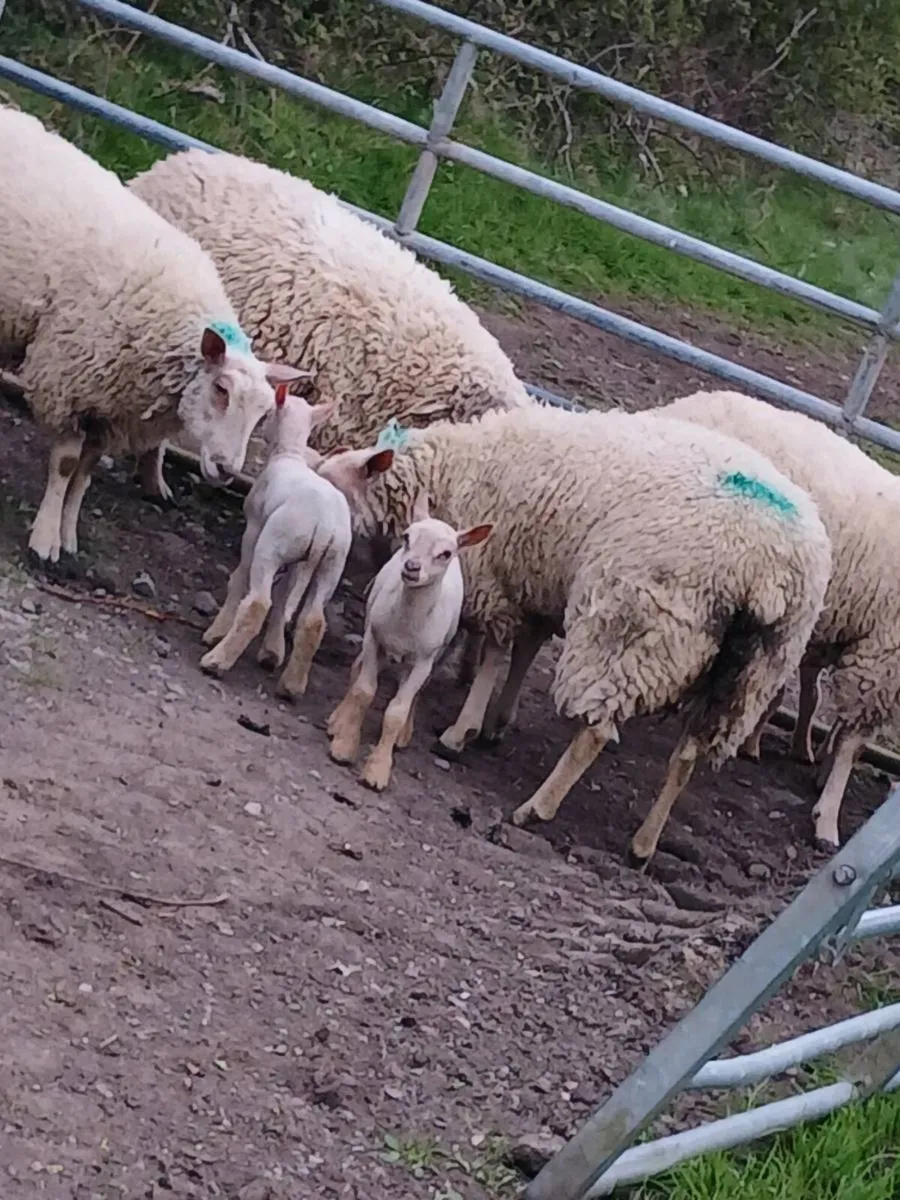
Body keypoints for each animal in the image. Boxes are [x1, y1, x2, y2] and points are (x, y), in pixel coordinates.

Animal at [0, 106, 304, 564]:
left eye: (265, 413)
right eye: (221, 389)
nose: (227, 471)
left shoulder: (113, 410)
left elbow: (85, 474)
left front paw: (68, 536)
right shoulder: (71, 383)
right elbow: (67, 466)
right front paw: (45, 540)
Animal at [199, 388, 351, 701]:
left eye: (267, 413)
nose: (260, 428)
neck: (288, 454)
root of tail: (324, 524)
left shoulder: (255, 528)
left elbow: (241, 577)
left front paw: (218, 630)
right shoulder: (300, 561)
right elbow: (284, 596)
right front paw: (272, 651)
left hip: (273, 545)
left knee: (258, 603)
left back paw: (217, 661)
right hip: (331, 563)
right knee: (313, 621)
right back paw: (292, 686)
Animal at [326, 487, 493, 791]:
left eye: (445, 553)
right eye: (406, 537)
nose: (412, 567)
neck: (406, 623)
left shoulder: (424, 659)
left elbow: (397, 710)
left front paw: (378, 768)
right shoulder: (374, 638)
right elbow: (363, 690)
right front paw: (344, 744)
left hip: (436, 652)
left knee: (415, 690)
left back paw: (403, 735)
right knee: (357, 670)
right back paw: (339, 720)